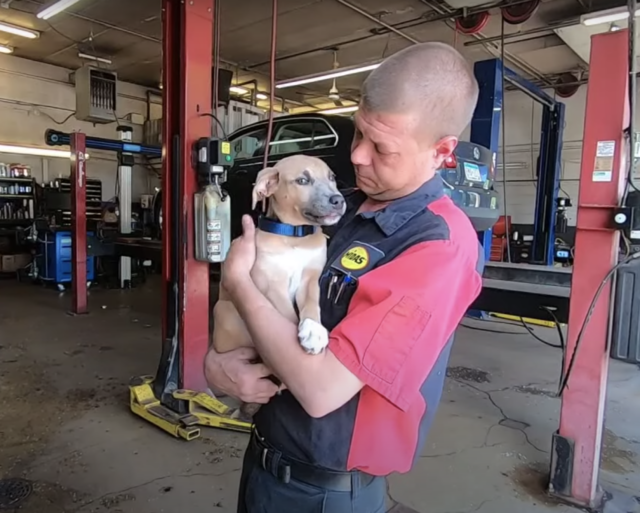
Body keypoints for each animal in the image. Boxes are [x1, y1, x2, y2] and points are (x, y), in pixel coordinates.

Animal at [211, 155, 344, 416]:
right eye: (302, 181)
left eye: (332, 177)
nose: (338, 200)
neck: (294, 236)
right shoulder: (271, 284)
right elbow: (288, 317)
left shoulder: (310, 278)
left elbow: (311, 305)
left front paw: (313, 331)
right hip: (226, 311)